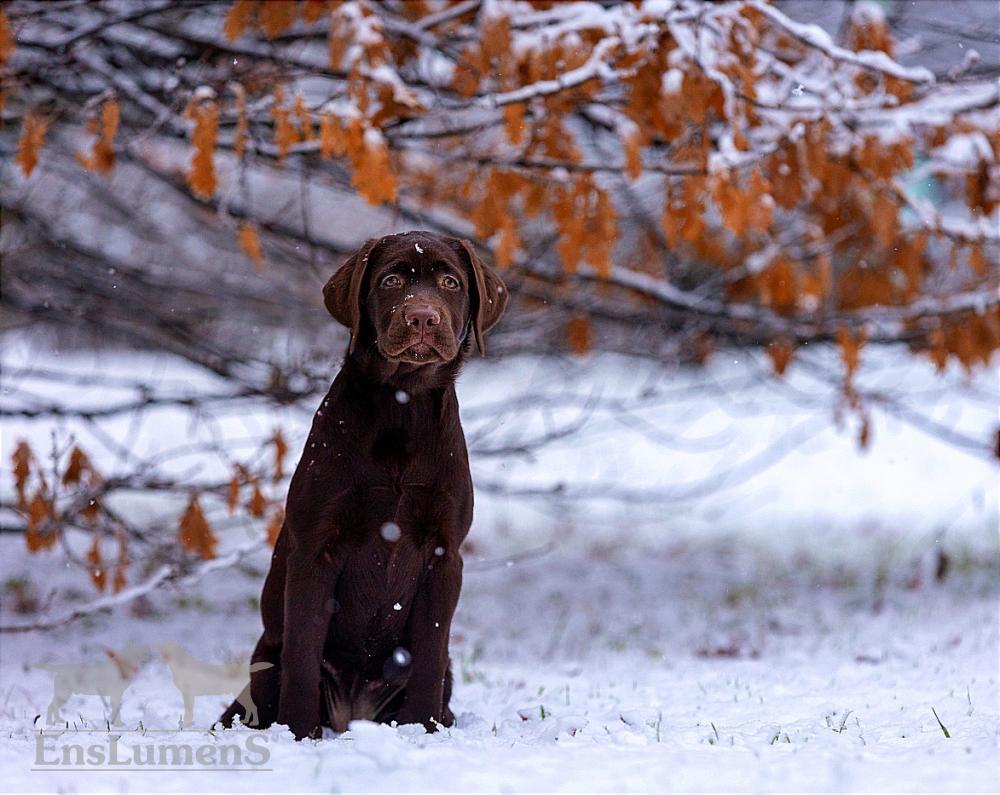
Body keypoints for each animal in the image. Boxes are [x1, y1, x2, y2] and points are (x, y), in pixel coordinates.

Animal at [224, 230, 512, 740]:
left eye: (451, 283)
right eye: (391, 280)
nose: (423, 317)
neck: (402, 404)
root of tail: (350, 714)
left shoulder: (445, 553)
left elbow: (430, 651)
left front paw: (423, 729)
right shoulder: (315, 549)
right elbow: (303, 651)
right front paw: (298, 733)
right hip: (264, 659)